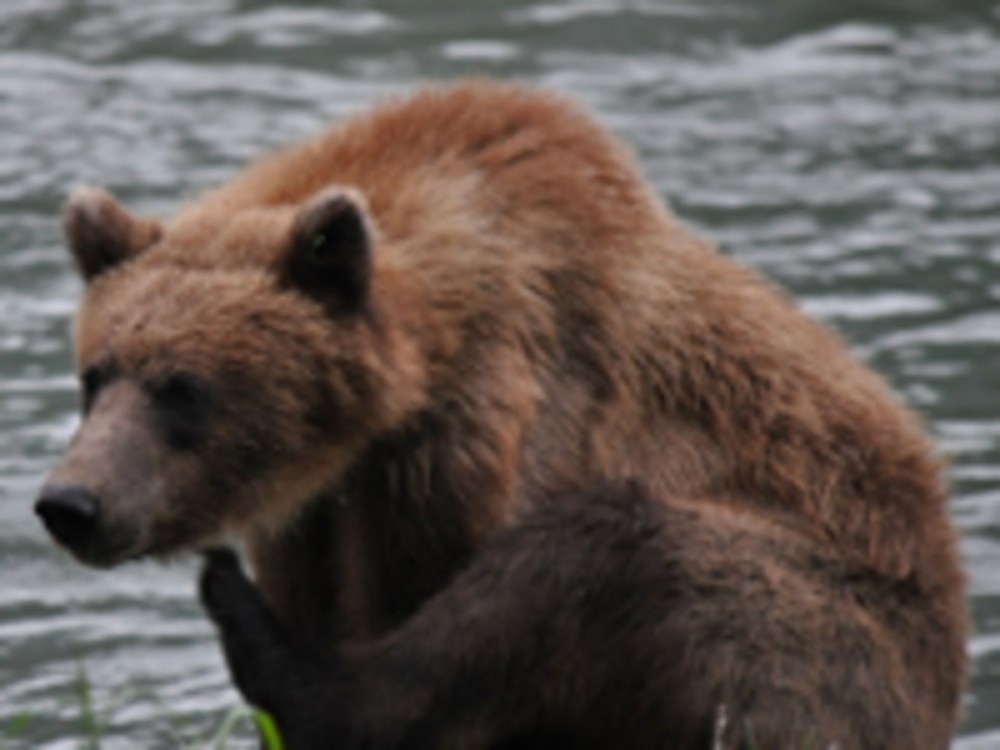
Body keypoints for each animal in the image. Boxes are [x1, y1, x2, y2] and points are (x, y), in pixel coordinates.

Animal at [39, 79, 968, 748]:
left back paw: (238, 611)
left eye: (184, 388)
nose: (72, 502)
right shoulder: (314, 515)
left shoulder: (481, 432)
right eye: (96, 375)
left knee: (611, 554)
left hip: (832, 627)